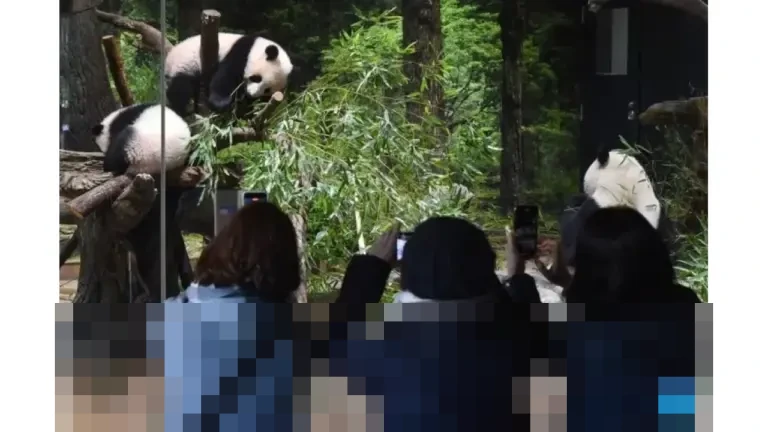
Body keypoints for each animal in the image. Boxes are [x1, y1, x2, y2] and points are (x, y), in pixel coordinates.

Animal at [164, 33, 293, 116]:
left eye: (267, 90)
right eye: (257, 78)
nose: (251, 94)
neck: (256, 47)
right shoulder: (240, 53)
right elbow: (226, 77)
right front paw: (221, 103)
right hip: (185, 64)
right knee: (181, 88)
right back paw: (181, 110)